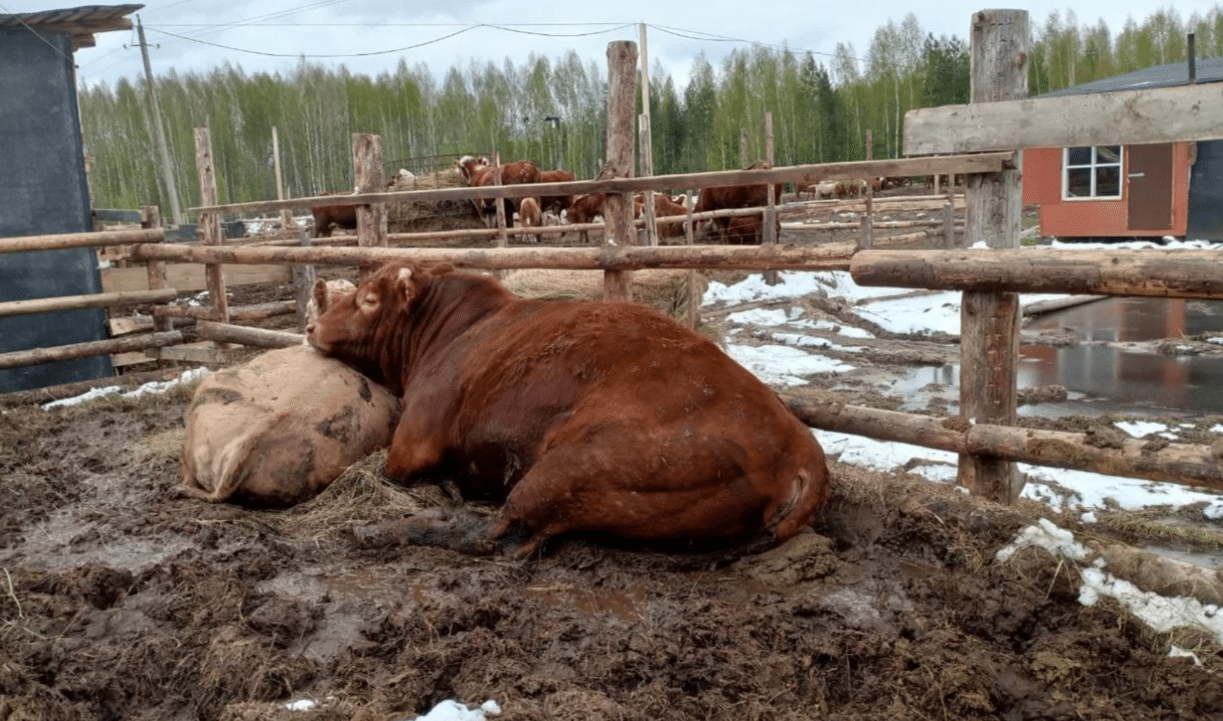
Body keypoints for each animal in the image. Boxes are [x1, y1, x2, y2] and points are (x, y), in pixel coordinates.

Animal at [303, 263, 831, 559]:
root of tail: (799, 445)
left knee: (495, 534)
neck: (452, 330)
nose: (311, 327)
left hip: (567, 466)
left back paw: (376, 530)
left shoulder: (410, 447)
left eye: (369, 299)